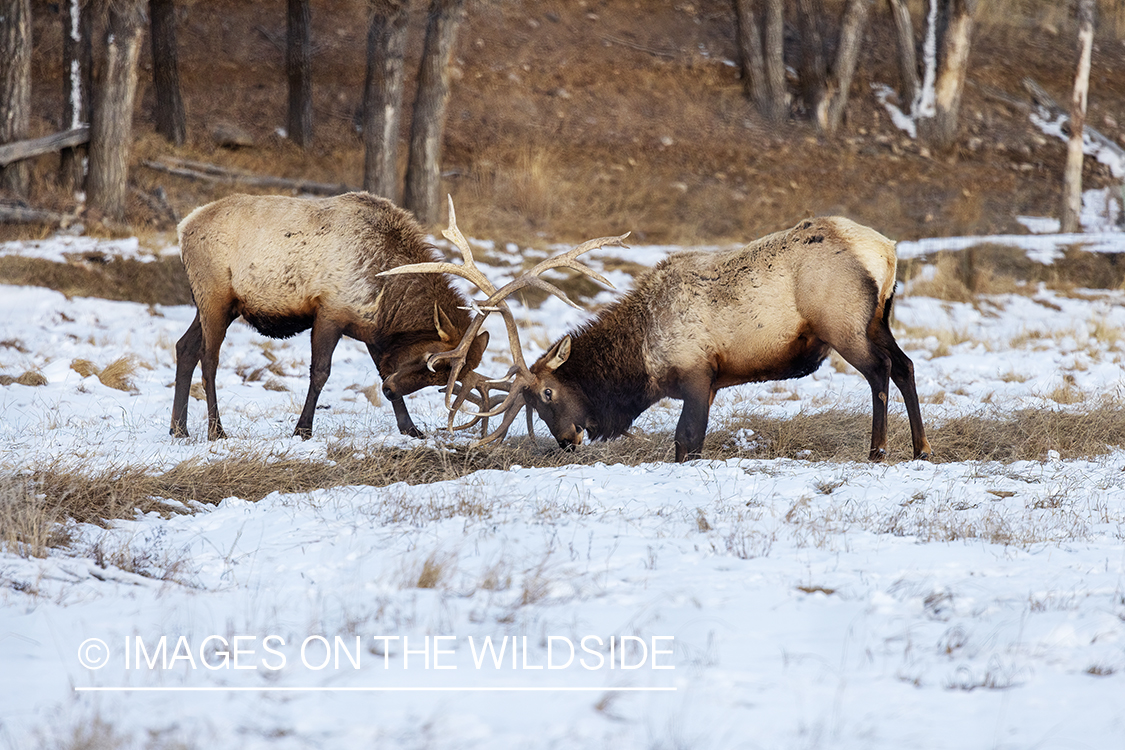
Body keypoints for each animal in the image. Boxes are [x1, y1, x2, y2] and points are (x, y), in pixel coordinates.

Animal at [167, 191, 488, 443]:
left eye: (441, 378)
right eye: (433, 361)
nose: (388, 391)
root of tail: (183, 227)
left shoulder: (368, 327)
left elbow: (382, 370)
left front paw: (411, 429)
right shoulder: (329, 313)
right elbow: (320, 372)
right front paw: (302, 430)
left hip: (215, 306)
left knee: (184, 347)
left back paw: (179, 428)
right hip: (214, 299)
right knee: (208, 359)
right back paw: (216, 431)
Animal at [400, 208, 927, 461]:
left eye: (547, 393)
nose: (568, 440)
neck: (641, 362)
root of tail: (887, 250)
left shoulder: (697, 375)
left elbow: (685, 442)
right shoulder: (710, 383)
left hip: (845, 324)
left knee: (881, 371)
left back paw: (879, 451)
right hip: (879, 319)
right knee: (905, 364)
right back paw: (921, 450)